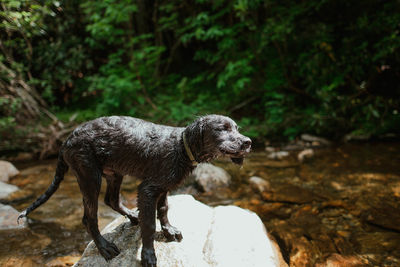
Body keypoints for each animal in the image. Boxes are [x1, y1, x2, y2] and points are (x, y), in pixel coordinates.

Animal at [18, 115, 252, 267]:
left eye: (237, 128)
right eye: (222, 129)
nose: (248, 142)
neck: (180, 149)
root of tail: (66, 140)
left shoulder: (163, 187)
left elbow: (163, 210)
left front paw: (169, 230)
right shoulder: (148, 189)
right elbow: (149, 225)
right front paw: (148, 255)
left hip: (114, 172)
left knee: (111, 200)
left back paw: (132, 215)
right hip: (89, 175)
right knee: (89, 217)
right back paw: (104, 247)